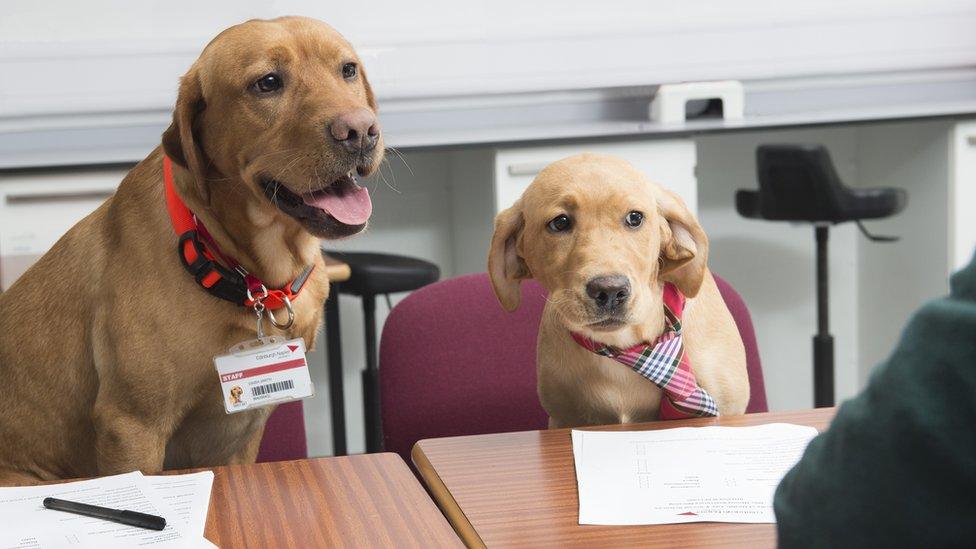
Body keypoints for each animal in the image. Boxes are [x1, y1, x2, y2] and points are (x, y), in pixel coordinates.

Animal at [0, 15, 382, 482]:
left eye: (347, 70)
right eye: (268, 83)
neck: (249, 273)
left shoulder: (243, 434)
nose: (360, 130)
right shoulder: (131, 426)